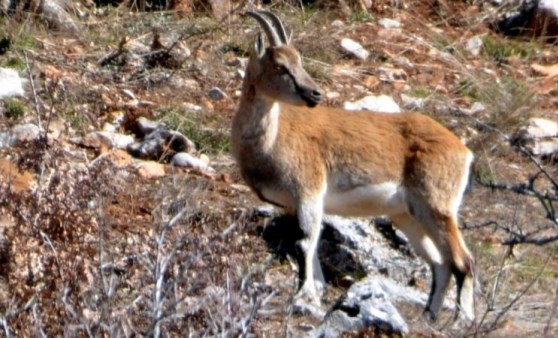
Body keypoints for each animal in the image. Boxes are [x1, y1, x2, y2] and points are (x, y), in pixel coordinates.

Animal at [233, 9, 476, 320]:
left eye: (298, 60)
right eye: (280, 65)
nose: (315, 94)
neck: (272, 139)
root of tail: (462, 150)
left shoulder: (309, 192)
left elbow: (304, 243)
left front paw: (303, 297)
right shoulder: (293, 204)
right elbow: (309, 248)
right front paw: (314, 295)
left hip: (438, 206)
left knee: (463, 261)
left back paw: (462, 321)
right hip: (408, 215)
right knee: (441, 263)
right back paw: (430, 318)